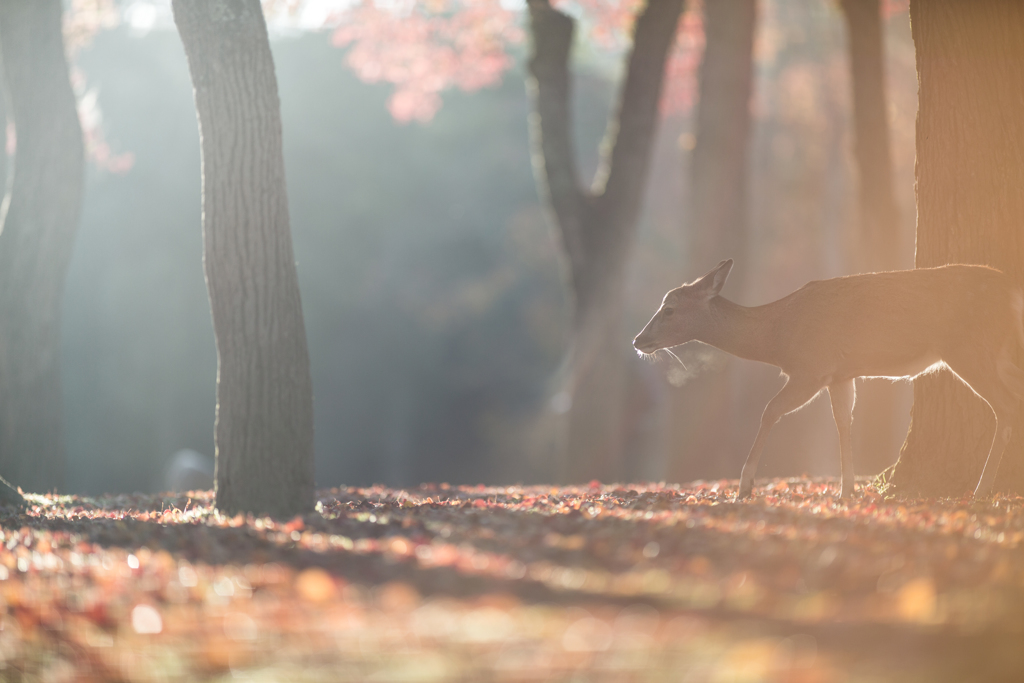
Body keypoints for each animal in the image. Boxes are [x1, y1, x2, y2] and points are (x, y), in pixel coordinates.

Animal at [630, 259, 1024, 499]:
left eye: (670, 309)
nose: (637, 340)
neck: (777, 337)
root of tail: (1012, 292)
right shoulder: (840, 374)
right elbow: (843, 422)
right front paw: (846, 490)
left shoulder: (811, 367)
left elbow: (770, 410)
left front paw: (745, 485)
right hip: (999, 353)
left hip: (970, 348)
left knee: (1006, 408)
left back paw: (981, 489)